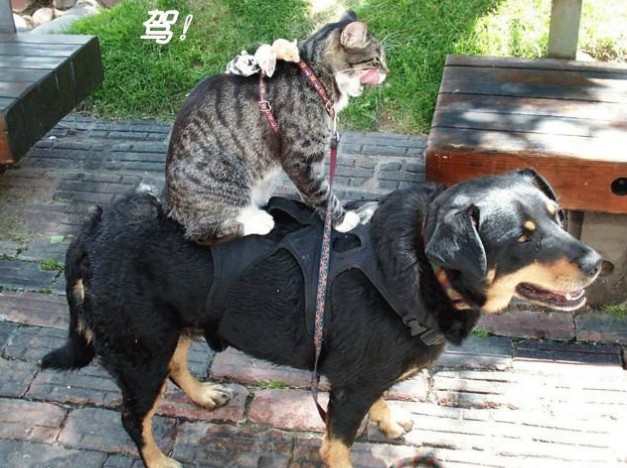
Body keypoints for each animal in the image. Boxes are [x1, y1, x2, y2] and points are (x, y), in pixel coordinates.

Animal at [41, 169, 602, 468]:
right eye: (522, 239)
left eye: (557, 216)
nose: (597, 263)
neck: (422, 265)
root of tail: (92, 228)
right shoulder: (349, 390)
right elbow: (338, 446)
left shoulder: (366, 377)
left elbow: (382, 400)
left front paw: (390, 421)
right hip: (141, 349)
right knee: (134, 417)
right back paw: (158, 459)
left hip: (169, 330)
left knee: (177, 368)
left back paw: (202, 396)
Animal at [164, 11, 388, 244]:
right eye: (377, 59)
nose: (387, 72)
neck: (316, 77)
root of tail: (169, 202)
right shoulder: (300, 159)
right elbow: (322, 193)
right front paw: (341, 220)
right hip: (224, 177)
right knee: (204, 233)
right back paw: (259, 222)